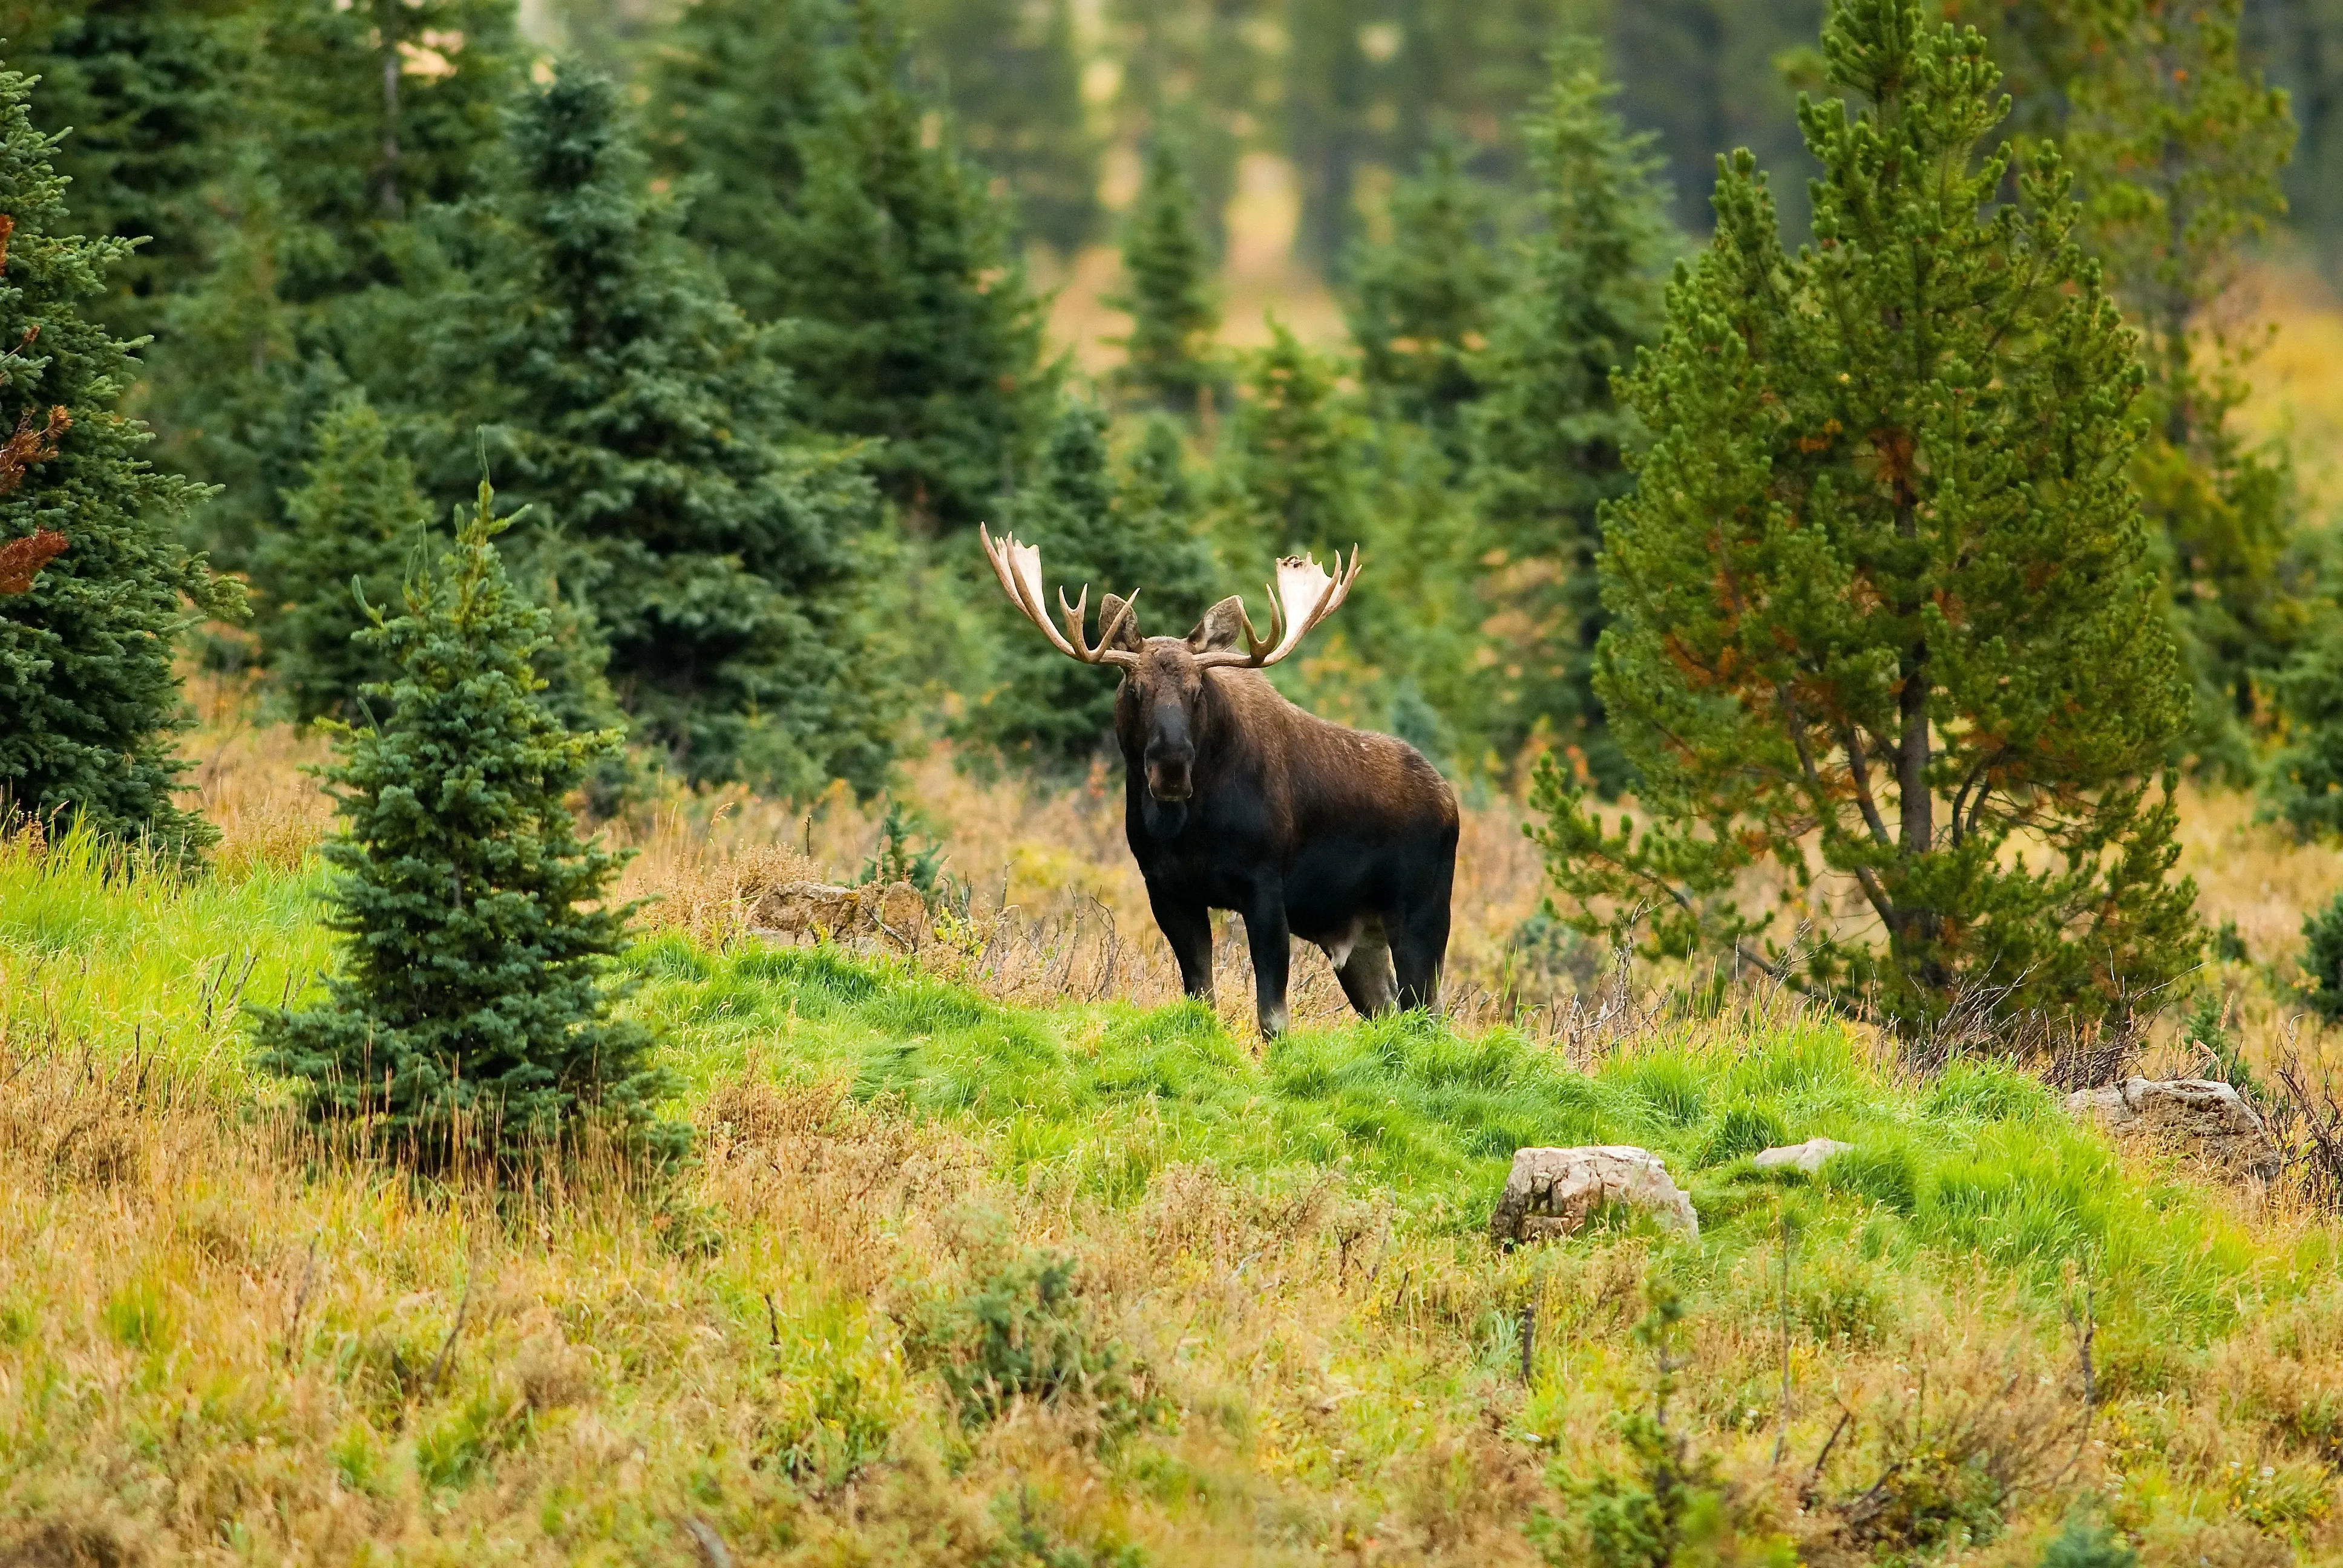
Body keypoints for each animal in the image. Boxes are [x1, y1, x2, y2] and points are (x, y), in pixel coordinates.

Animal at [981, 526, 1458, 1038]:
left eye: (1197, 691)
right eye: (1135, 688)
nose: (1171, 768)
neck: (1191, 830)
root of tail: (1450, 801)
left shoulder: (1265, 887)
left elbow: (1272, 1017)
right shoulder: (1168, 889)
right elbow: (1201, 999)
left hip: (1423, 915)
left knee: (1429, 1016)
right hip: (1359, 939)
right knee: (1389, 1012)